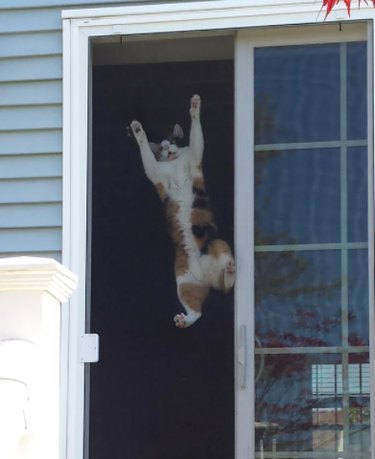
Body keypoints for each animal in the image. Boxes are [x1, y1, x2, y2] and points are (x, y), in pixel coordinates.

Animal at [130, 95, 235, 328]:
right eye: (161, 147)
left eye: (173, 141)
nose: (167, 147)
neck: (174, 163)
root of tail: (206, 277)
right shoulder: (156, 174)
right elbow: (146, 155)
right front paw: (138, 132)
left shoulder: (194, 156)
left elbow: (196, 133)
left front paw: (195, 106)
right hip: (184, 283)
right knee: (197, 310)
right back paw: (184, 320)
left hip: (219, 245)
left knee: (227, 286)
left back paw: (230, 272)